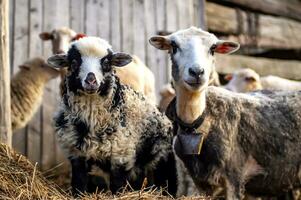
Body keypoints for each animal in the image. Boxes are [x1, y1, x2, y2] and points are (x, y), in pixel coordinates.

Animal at [48, 35, 177, 195]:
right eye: (73, 62)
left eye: (106, 63)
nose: (91, 80)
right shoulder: (77, 155)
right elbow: (79, 183)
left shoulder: (120, 155)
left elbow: (118, 186)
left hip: (162, 157)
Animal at [150, 27, 301, 200]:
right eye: (174, 46)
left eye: (213, 48)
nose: (197, 72)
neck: (198, 123)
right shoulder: (199, 182)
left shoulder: (235, 176)